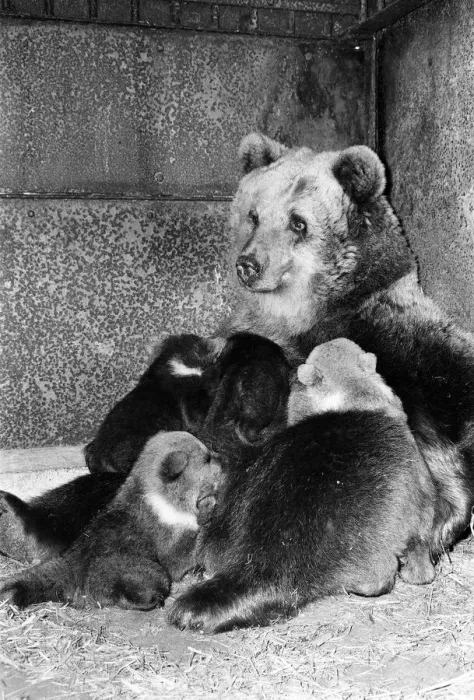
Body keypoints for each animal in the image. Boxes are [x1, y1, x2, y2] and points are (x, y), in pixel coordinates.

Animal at [0, 432, 221, 610]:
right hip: (151, 573)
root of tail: (70, 570)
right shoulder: (173, 549)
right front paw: (209, 505)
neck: (161, 497)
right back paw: (155, 600)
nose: (222, 459)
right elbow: (190, 544)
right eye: (207, 458)